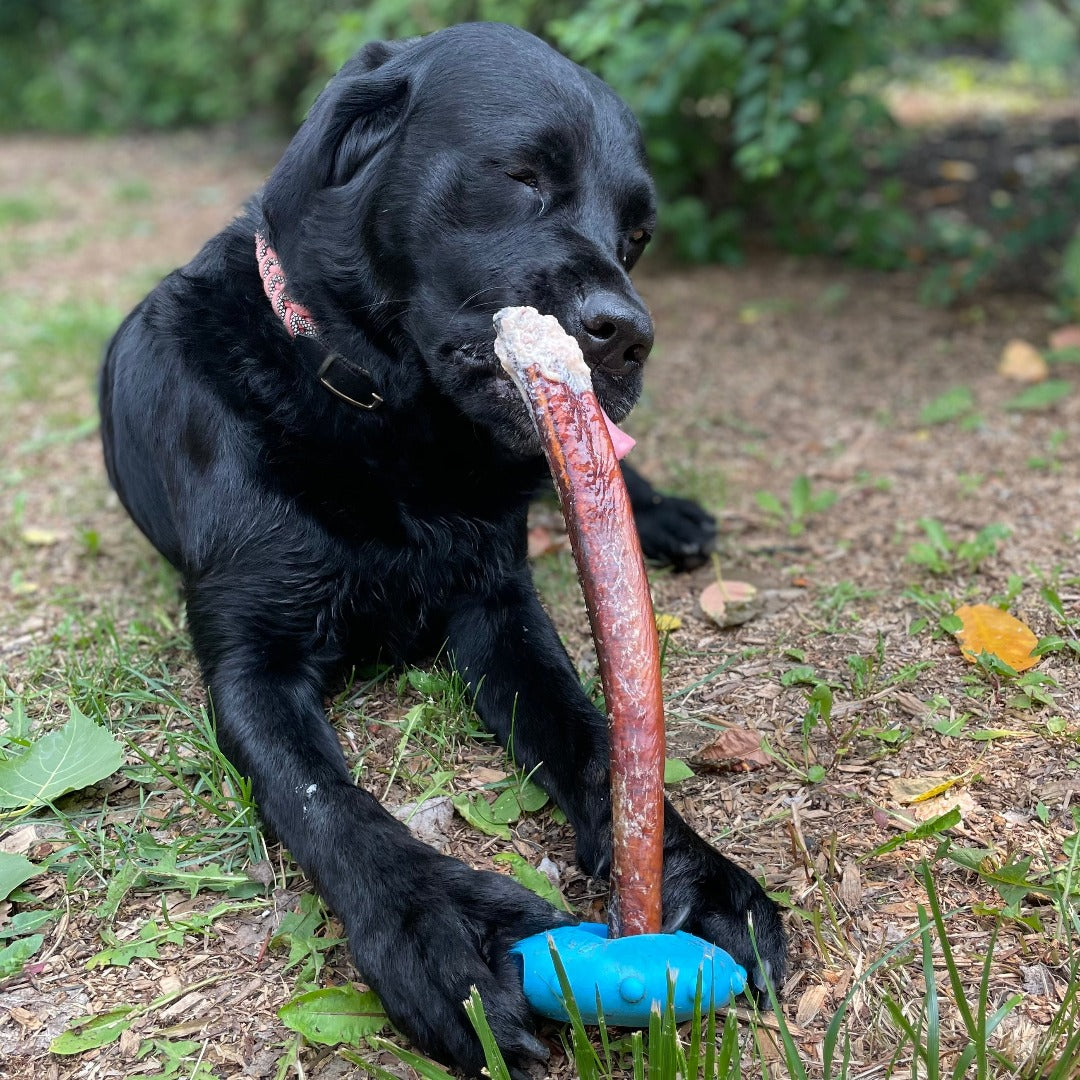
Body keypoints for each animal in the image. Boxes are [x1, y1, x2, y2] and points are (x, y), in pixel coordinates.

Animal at [101, 23, 781, 1071]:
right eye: (521, 176)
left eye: (636, 236)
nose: (629, 336)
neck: (386, 423)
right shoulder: (250, 660)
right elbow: (325, 800)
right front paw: (444, 929)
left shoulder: (499, 609)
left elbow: (594, 734)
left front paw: (693, 870)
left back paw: (668, 518)